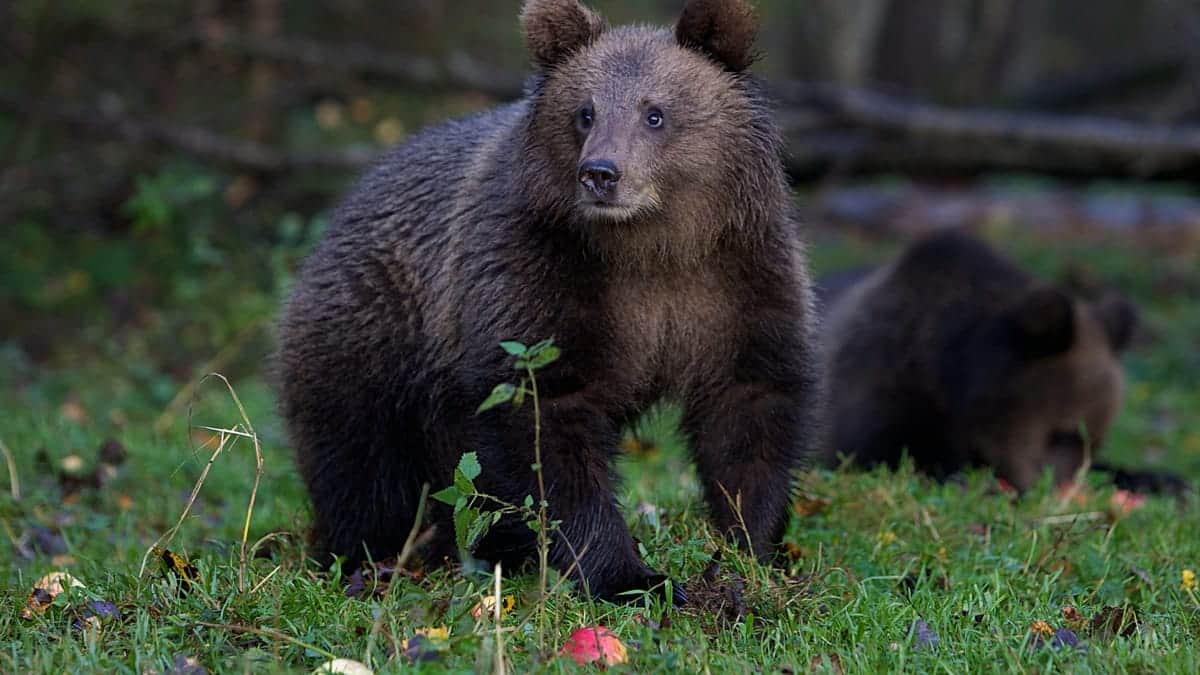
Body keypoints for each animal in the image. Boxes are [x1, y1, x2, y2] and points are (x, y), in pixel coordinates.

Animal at [274, 0, 817, 604]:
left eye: (654, 113)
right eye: (585, 112)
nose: (600, 173)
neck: (650, 248)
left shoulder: (736, 277)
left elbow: (751, 406)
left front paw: (750, 549)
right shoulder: (535, 274)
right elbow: (544, 425)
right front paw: (632, 576)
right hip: (375, 346)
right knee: (362, 465)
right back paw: (373, 555)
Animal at [817, 229, 1180, 493]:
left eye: (1097, 440)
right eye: (1062, 432)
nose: (1059, 489)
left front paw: (1159, 480)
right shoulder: (877, 390)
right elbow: (879, 453)